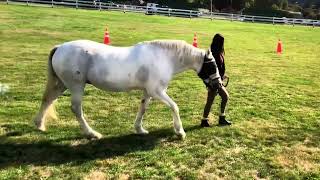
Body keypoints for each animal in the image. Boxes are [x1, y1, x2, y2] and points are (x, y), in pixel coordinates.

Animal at [33, 39, 214, 139]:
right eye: (213, 65)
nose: (217, 84)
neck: (164, 57)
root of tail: (60, 47)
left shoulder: (148, 91)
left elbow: (143, 108)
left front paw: (140, 129)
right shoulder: (157, 91)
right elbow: (174, 107)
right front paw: (180, 132)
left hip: (63, 84)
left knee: (48, 99)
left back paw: (40, 125)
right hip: (76, 85)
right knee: (76, 109)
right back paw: (92, 134)